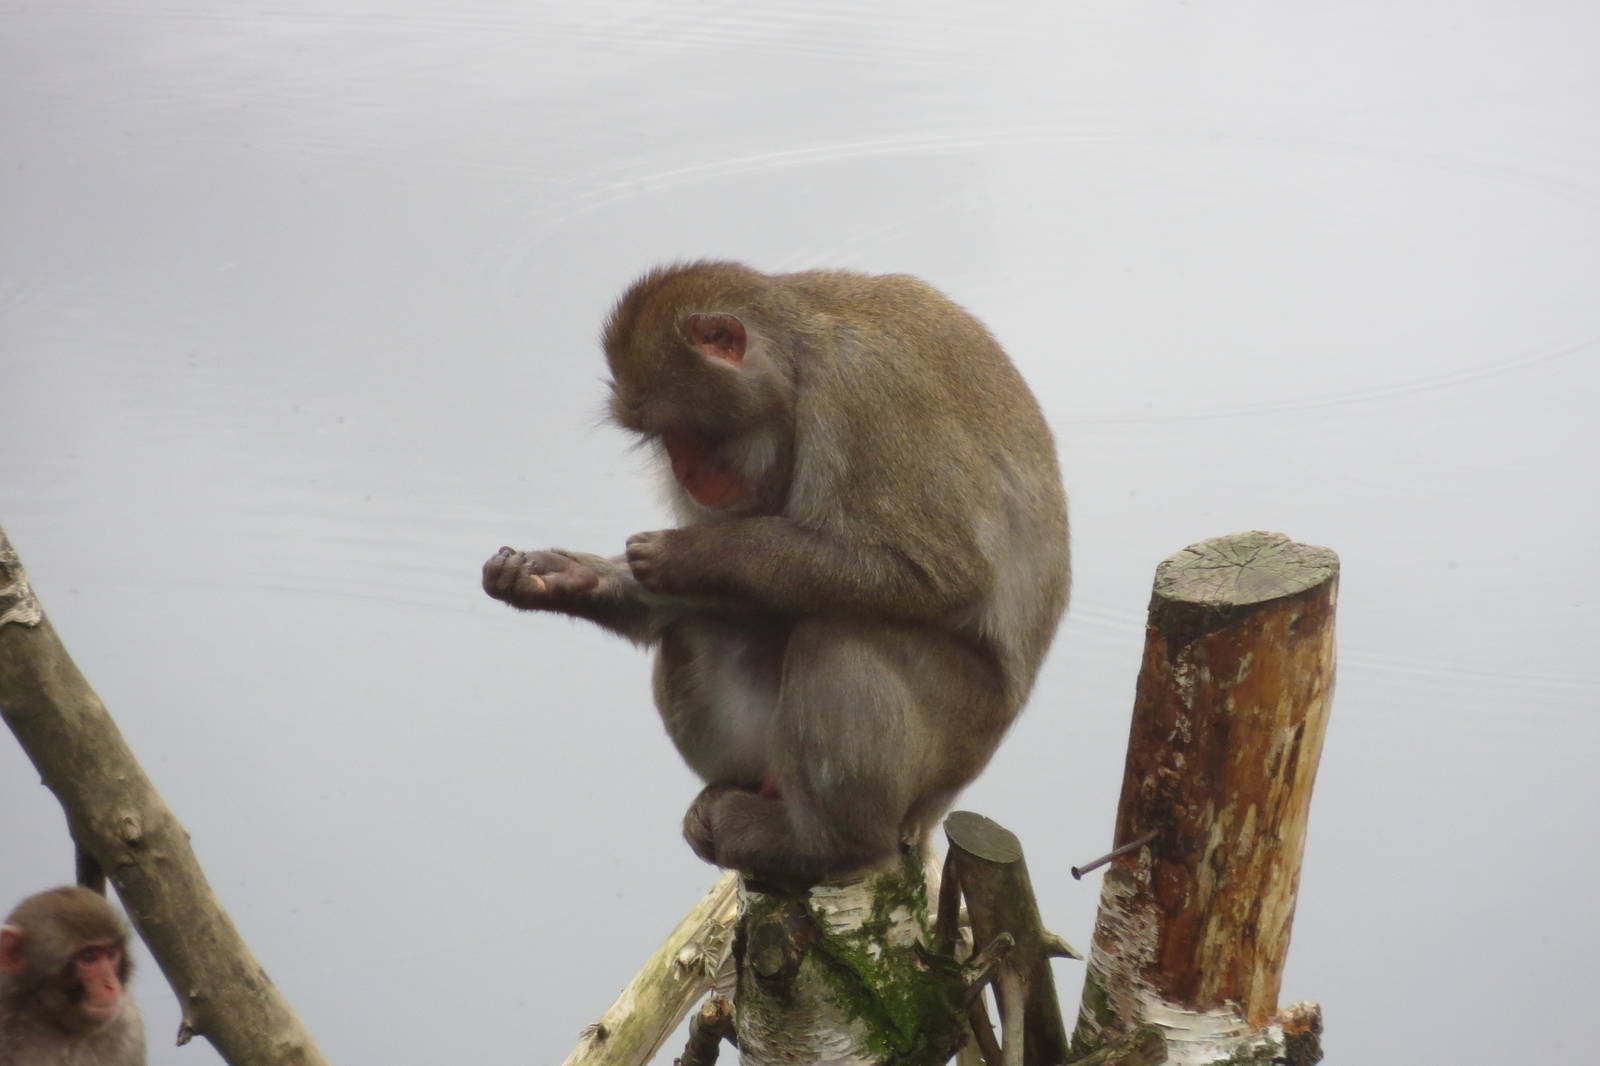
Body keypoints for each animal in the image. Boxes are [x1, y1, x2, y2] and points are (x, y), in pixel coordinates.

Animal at [484, 261, 1069, 890]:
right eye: (662, 439)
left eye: (684, 428)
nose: (683, 472)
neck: (798, 368)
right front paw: (565, 578)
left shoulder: (865, 391)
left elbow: (939, 572)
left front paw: (696, 552)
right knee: (697, 631)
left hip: (951, 745)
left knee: (842, 634)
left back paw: (826, 845)